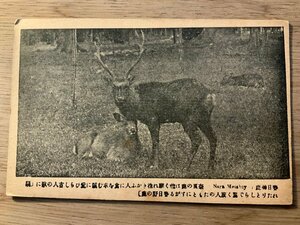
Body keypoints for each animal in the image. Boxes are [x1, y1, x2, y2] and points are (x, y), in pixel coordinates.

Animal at [92, 29, 217, 169]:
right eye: (114, 86)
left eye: (126, 86)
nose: (120, 98)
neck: (138, 104)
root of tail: (211, 95)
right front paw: (150, 162)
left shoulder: (153, 118)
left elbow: (155, 142)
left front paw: (154, 164)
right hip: (204, 117)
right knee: (213, 137)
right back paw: (210, 167)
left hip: (189, 117)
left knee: (197, 140)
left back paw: (185, 167)